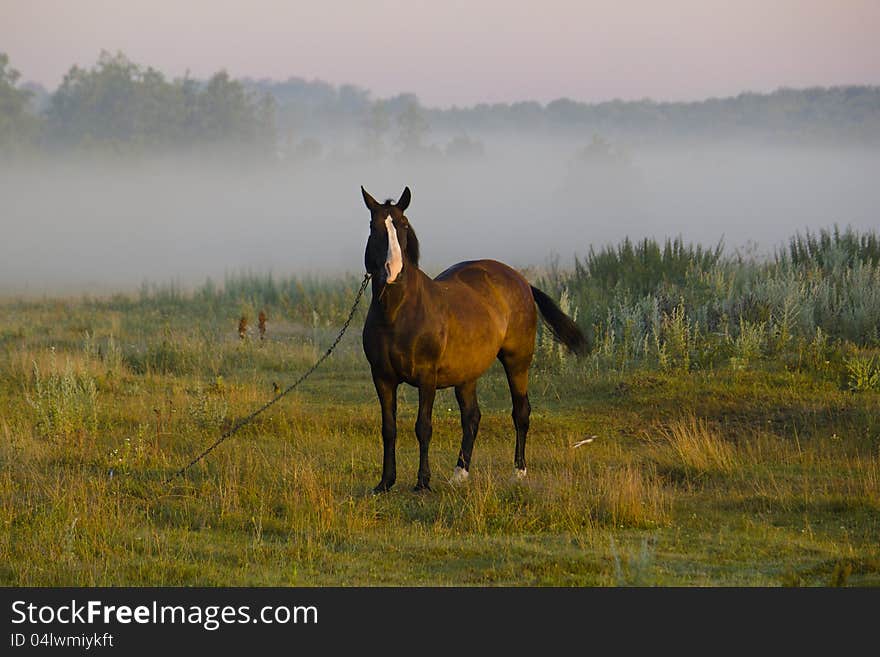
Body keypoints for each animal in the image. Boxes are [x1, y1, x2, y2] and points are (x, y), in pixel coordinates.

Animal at [360, 184, 588, 492]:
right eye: (374, 227)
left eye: (403, 225)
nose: (393, 270)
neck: (396, 313)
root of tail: (521, 281)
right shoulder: (382, 377)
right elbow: (389, 429)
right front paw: (385, 482)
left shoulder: (426, 377)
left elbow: (423, 427)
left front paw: (423, 482)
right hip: (466, 373)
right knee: (472, 417)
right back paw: (460, 473)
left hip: (517, 362)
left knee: (521, 412)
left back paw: (518, 472)